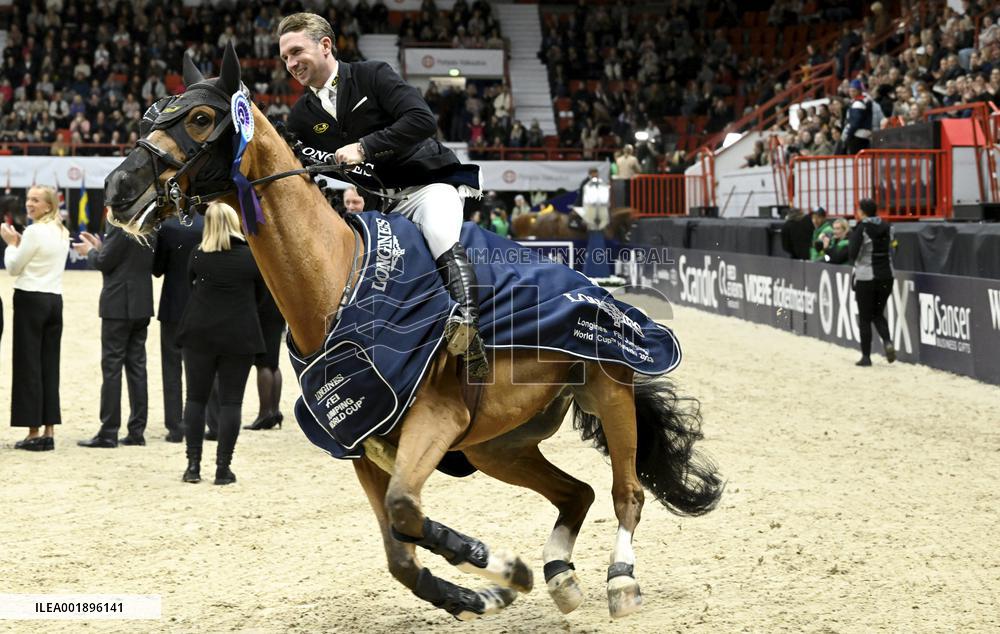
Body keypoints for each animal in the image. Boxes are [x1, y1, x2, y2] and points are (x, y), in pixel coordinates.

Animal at [103, 44, 722, 621]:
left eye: (200, 117)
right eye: (152, 112)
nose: (116, 189)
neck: (337, 281)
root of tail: (593, 288)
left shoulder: (434, 418)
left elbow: (406, 512)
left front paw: (494, 566)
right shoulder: (363, 445)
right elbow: (401, 549)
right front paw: (485, 589)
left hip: (607, 387)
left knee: (625, 492)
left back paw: (620, 580)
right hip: (499, 446)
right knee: (578, 492)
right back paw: (558, 574)